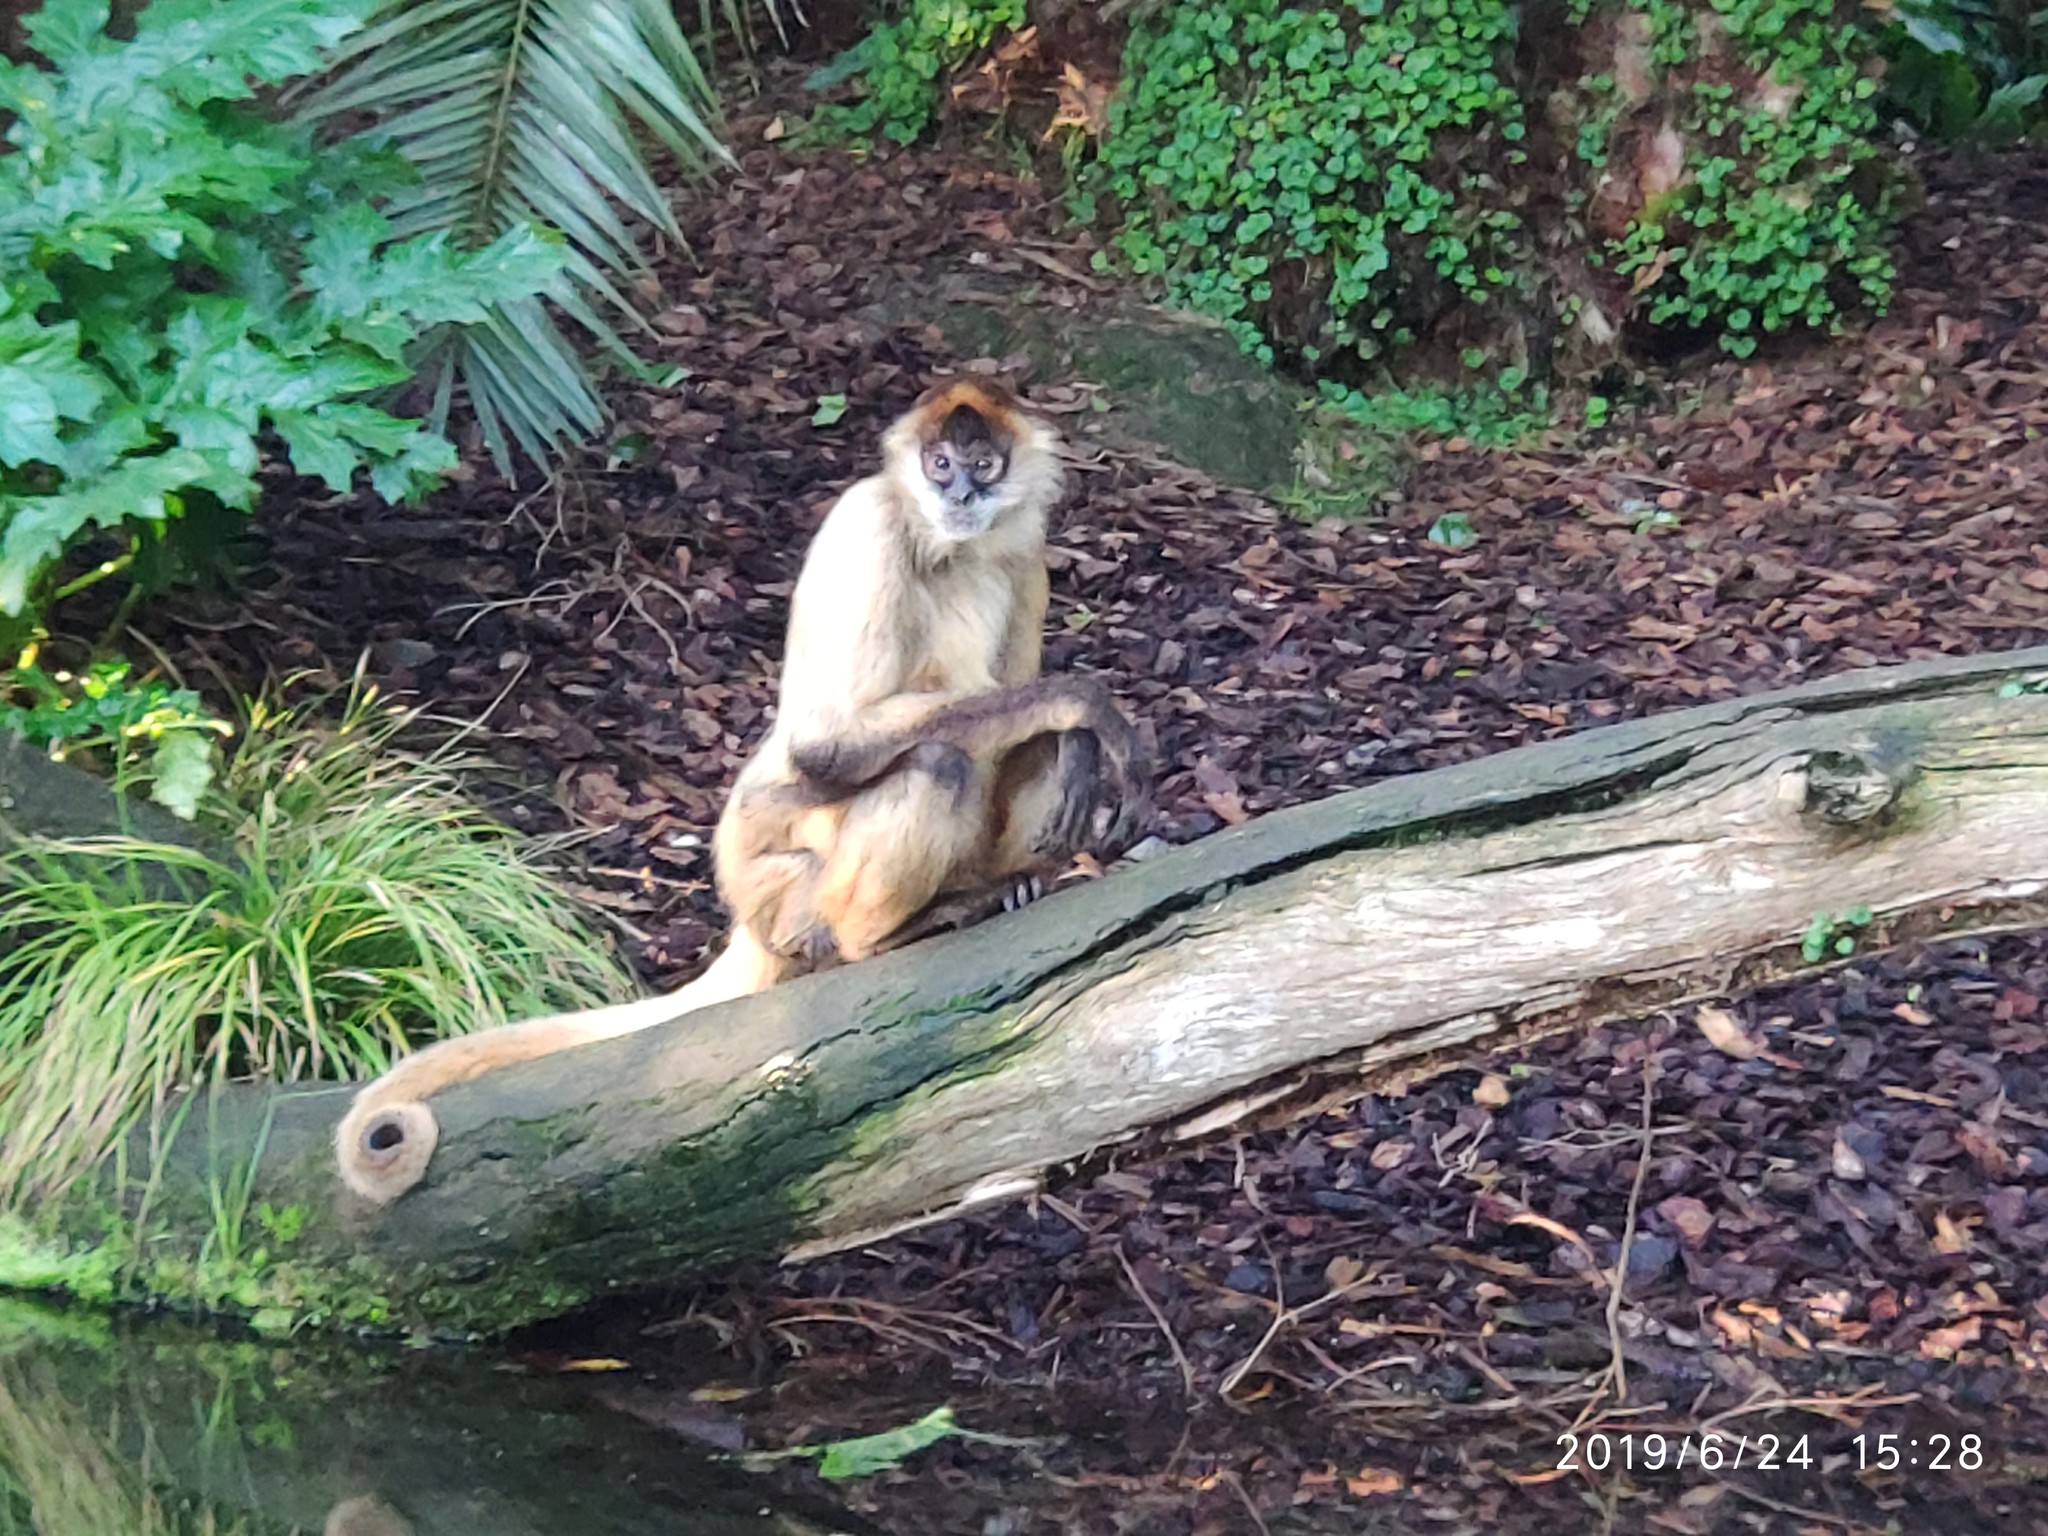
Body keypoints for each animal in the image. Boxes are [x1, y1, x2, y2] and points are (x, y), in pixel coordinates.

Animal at [327, 378, 1146, 1212]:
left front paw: (1085, 741)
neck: (949, 547)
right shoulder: (870, 521)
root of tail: (750, 915)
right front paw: (1088, 703)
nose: (958, 492)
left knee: (1031, 741)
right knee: (939, 760)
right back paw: (880, 937)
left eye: (983, 464)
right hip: (793, 886)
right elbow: (825, 746)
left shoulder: (1025, 555)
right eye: (939, 462)